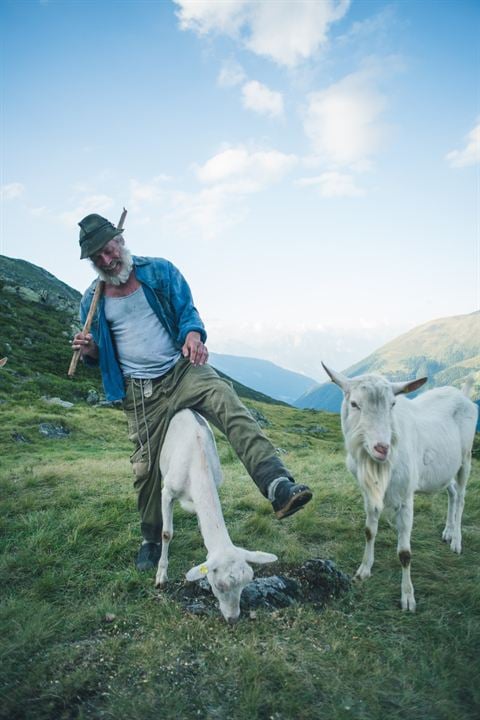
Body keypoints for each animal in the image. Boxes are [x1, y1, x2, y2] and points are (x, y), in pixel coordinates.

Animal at [155, 408, 278, 620]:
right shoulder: (168, 492)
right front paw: (161, 577)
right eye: (219, 586)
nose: (233, 619)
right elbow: (166, 533)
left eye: (246, 583)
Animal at [322, 366, 476, 612]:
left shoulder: (405, 498)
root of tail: (463, 394)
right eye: (354, 403)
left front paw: (408, 598)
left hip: (466, 457)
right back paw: (448, 531)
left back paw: (456, 541)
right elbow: (369, 531)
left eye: (393, 404)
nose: (382, 448)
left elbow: (404, 553)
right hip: (443, 469)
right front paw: (363, 570)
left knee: (461, 496)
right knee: (451, 491)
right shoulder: (369, 494)